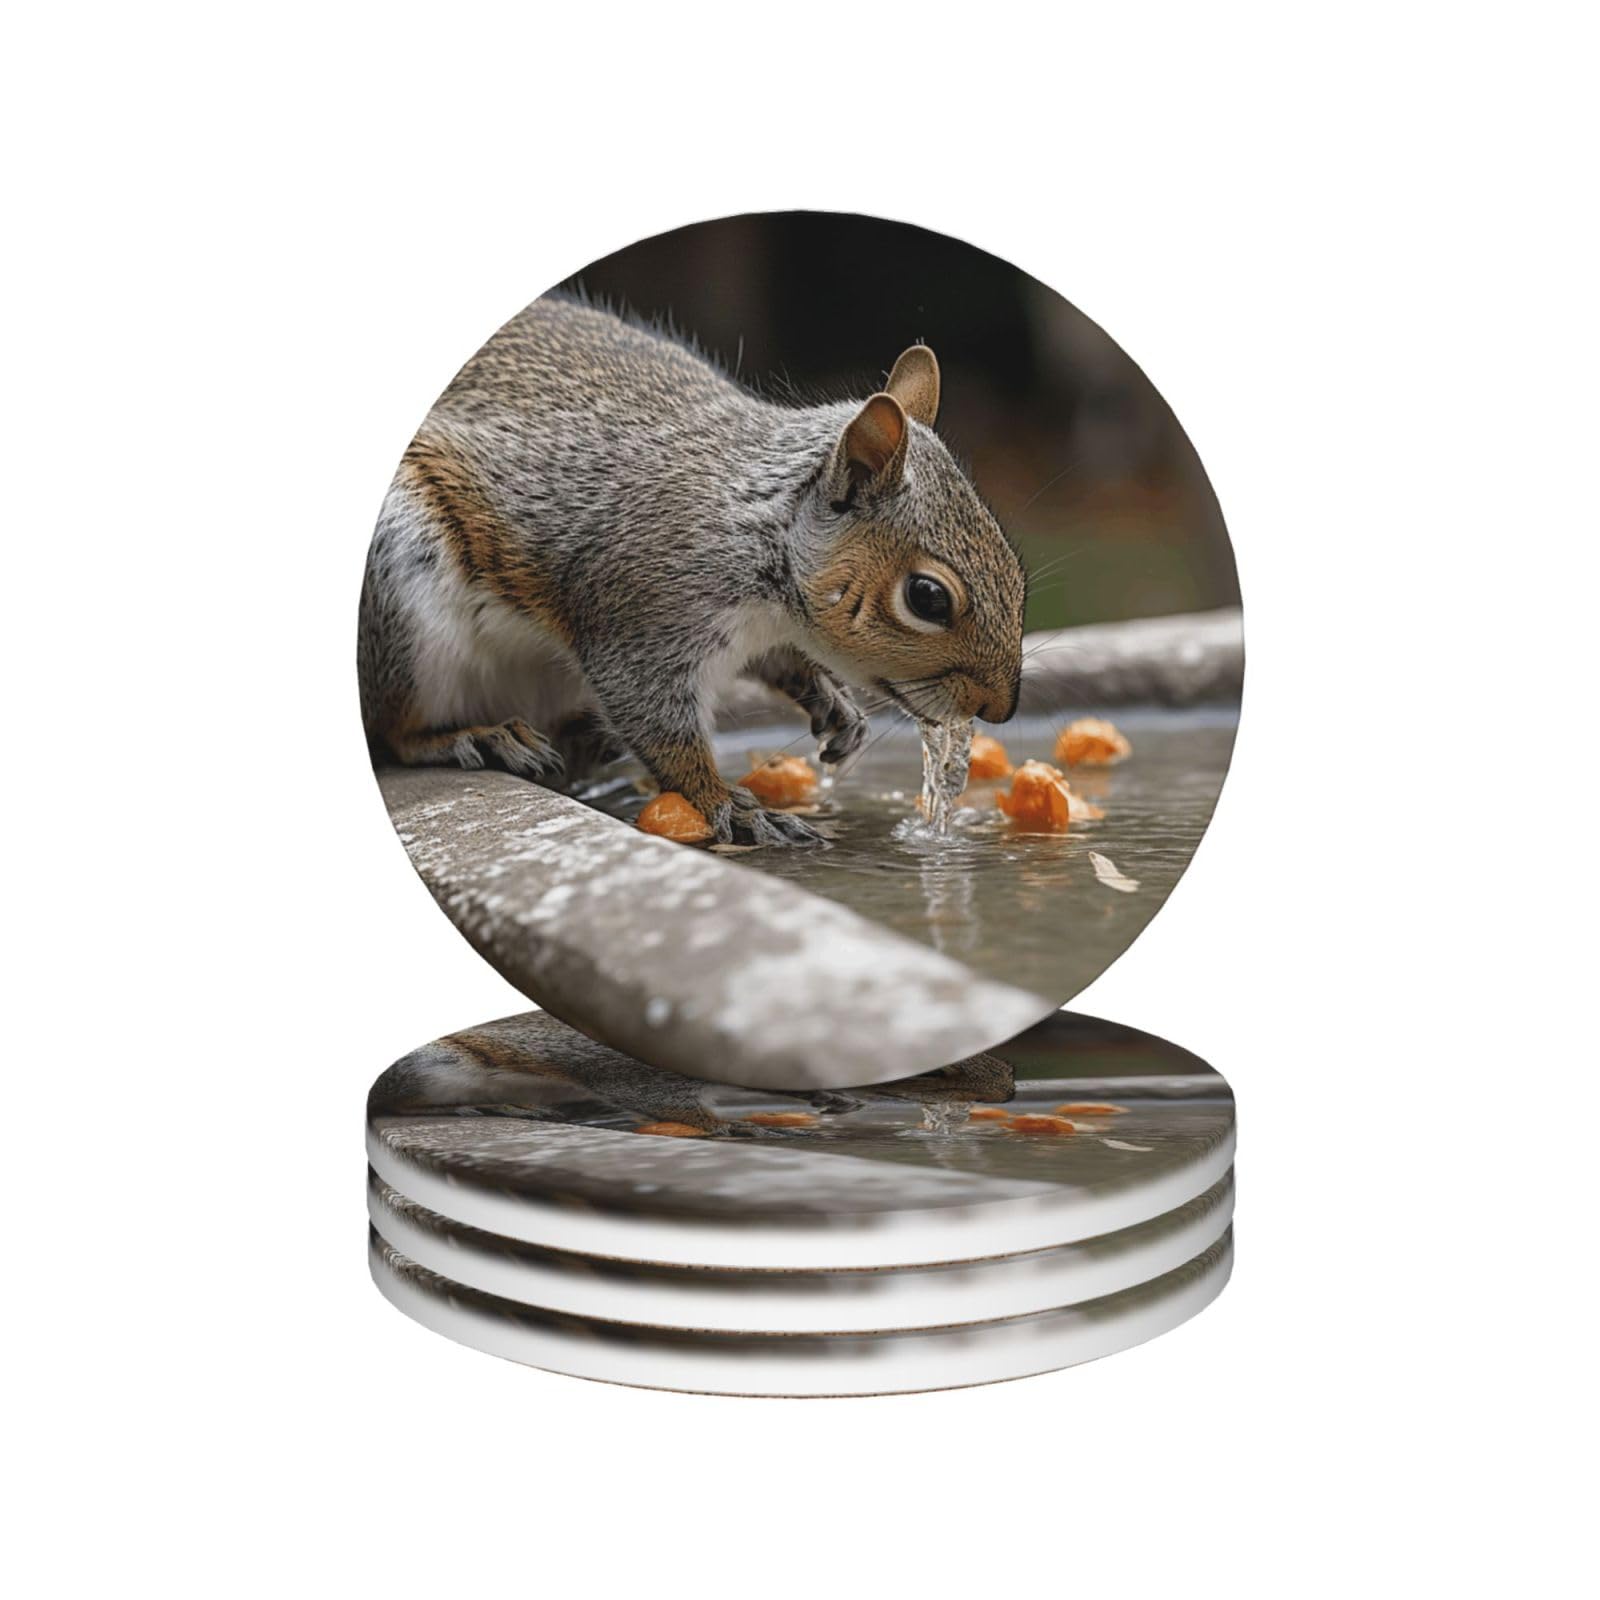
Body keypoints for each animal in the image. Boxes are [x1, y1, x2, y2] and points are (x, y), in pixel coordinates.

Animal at [359, 293, 1027, 845]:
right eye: (927, 598)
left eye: (1016, 571)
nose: (999, 709)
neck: (759, 532)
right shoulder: (640, 614)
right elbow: (658, 725)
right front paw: (726, 802)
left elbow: (780, 665)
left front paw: (833, 704)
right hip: (400, 603)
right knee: (396, 733)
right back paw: (472, 737)